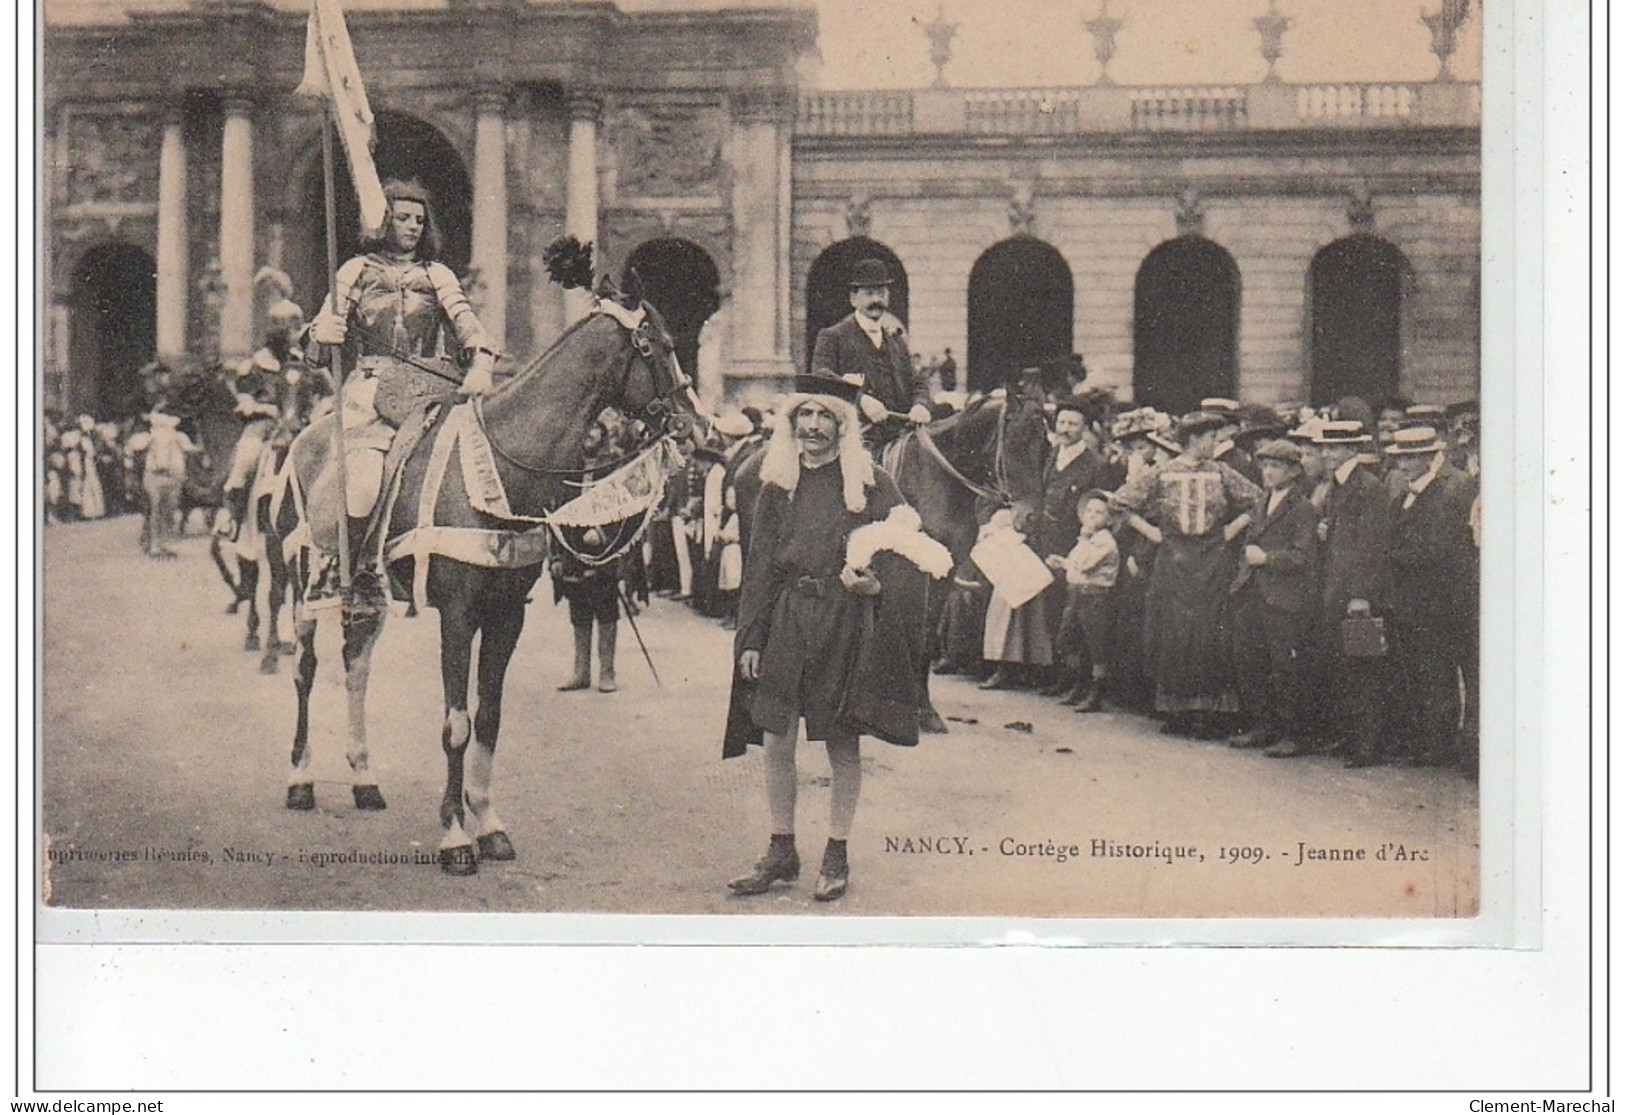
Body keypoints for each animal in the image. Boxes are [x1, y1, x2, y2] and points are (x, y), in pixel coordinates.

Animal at [269, 274, 702, 877]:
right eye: (657, 345)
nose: (699, 427)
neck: (502, 465)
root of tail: (306, 438)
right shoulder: (457, 614)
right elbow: (456, 722)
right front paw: (455, 836)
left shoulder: (505, 613)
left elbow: (490, 717)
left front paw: (490, 826)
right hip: (303, 582)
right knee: (306, 672)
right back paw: (301, 779)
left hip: (369, 597)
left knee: (357, 669)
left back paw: (364, 779)